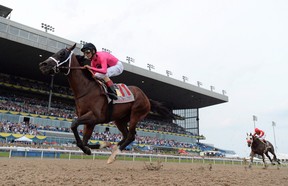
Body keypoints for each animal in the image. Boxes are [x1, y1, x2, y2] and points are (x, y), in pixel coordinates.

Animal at [38, 44, 176, 163]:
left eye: (62, 53)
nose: (43, 65)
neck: (86, 89)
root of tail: (146, 97)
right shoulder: (90, 121)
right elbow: (84, 140)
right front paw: (101, 144)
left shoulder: (94, 116)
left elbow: (74, 125)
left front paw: (94, 147)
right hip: (120, 120)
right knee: (126, 135)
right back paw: (114, 148)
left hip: (136, 114)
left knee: (131, 136)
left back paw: (114, 154)